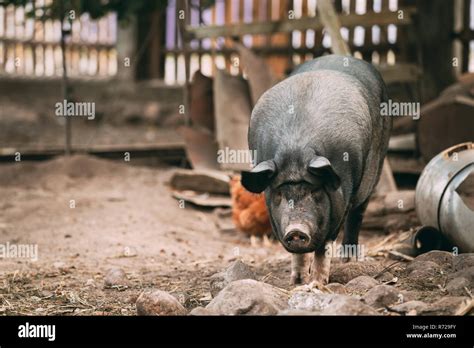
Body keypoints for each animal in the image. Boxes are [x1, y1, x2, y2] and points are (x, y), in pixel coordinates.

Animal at [243, 53, 390, 282]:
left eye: (315, 191)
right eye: (279, 194)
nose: (296, 230)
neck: (295, 149)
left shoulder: (340, 203)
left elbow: (324, 247)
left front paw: (318, 283)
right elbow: (299, 255)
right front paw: (297, 281)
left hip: (375, 170)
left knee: (357, 214)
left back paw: (349, 260)